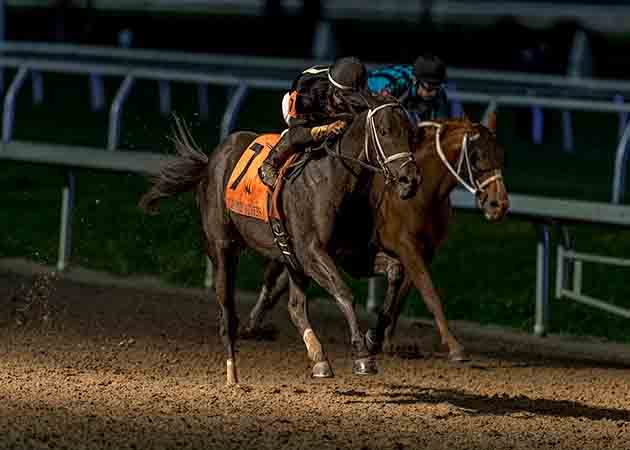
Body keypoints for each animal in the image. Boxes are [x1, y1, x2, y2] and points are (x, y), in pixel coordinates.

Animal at [141, 94, 422, 384]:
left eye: (410, 133)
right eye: (384, 131)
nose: (409, 180)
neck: (335, 181)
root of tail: (212, 160)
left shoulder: (351, 256)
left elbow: (395, 270)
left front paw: (374, 337)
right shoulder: (312, 253)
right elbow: (343, 293)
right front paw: (363, 355)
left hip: (289, 257)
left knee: (295, 307)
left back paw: (319, 358)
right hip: (222, 248)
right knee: (227, 313)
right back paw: (232, 373)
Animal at [244, 112, 512, 366]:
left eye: (500, 155)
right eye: (476, 157)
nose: (498, 204)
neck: (422, 194)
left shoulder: (423, 251)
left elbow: (402, 295)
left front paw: (381, 339)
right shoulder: (405, 247)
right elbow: (429, 292)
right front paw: (455, 346)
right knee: (273, 277)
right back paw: (253, 324)